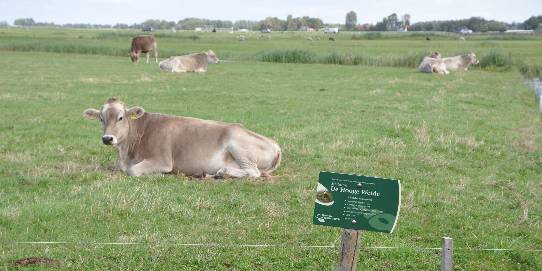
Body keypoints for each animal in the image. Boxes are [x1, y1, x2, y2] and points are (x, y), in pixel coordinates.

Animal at [84, 98, 284, 178]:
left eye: (120, 117)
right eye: (101, 118)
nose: (107, 138)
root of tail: (275, 144)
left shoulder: (163, 160)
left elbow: (132, 171)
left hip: (237, 143)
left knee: (253, 172)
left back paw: (223, 172)